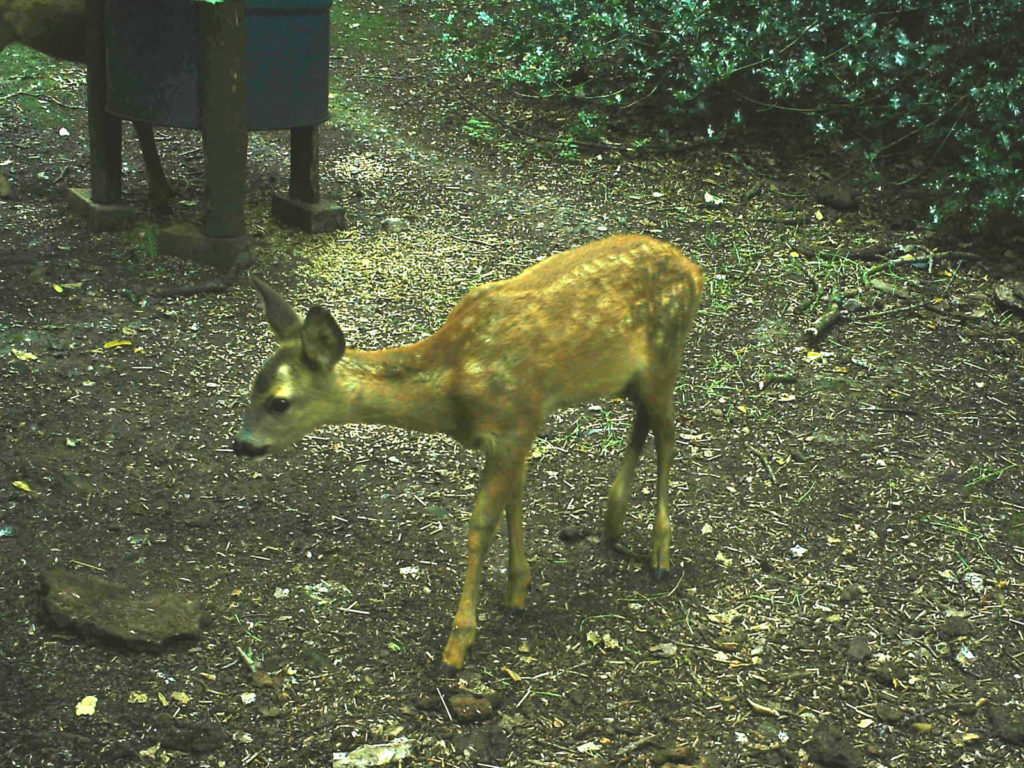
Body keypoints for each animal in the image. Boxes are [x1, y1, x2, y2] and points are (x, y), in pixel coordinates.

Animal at [234, 236, 704, 671]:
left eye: (279, 402)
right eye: (252, 386)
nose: (241, 445)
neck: (453, 385)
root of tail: (694, 271)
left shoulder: (514, 424)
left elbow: (480, 525)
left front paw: (458, 643)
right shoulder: (518, 432)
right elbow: (515, 498)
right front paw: (517, 590)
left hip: (666, 355)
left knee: (669, 434)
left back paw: (660, 553)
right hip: (630, 376)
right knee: (644, 421)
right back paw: (613, 522)